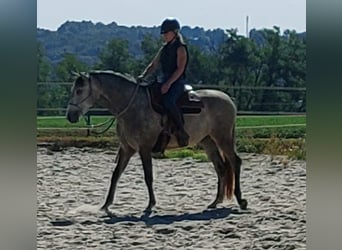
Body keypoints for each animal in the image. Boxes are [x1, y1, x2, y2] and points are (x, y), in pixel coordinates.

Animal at [65, 70, 247, 213]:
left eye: (79, 90)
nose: (70, 116)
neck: (132, 106)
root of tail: (227, 98)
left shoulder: (144, 149)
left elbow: (148, 176)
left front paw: (150, 205)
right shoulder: (126, 149)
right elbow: (116, 175)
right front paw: (105, 205)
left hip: (223, 138)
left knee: (235, 162)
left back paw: (241, 200)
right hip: (208, 141)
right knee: (221, 168)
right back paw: (215, 202)